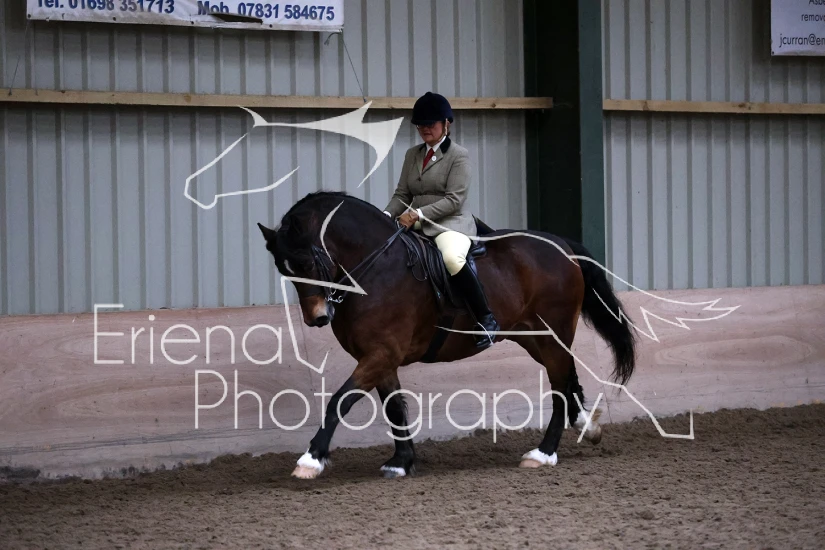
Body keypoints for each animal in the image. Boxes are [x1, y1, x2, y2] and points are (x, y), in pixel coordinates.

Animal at [257, 191, 637, 479]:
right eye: (282, 268)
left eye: (306, 262)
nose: (318, 318)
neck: (374, 268)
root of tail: (560, 245)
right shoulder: (381, 358)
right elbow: (394, 407)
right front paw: (401, 462)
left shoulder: (381, 353)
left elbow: (340, 400)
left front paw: (311, 459)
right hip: (533, 338)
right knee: (568, 375)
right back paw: (588, 427)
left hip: (550, 334)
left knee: (559, 385)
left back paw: (542, 454)